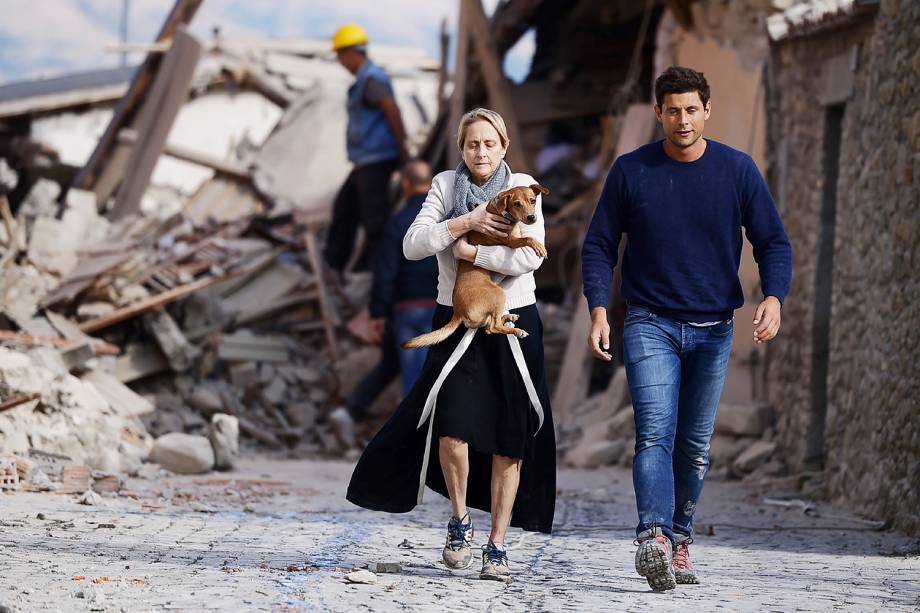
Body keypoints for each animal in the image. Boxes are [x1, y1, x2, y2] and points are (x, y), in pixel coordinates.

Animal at [400, 183, 548, 350]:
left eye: (533, 201)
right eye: (517, 204)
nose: (531, 217)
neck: (502, 210)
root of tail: (458, 311)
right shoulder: (510, 241)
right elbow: (527, 238)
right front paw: (539, 247)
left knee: (490, 327)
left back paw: (509, 316)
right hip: (498, 293)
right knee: (493, 327)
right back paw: (517, 331)